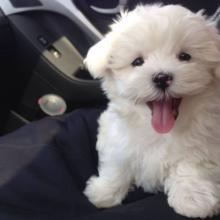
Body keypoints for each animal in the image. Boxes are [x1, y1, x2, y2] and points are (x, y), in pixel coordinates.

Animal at [83, 3, 220, 218]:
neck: (160, 132)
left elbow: (192, 164)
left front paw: (193, 199)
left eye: (185, 57)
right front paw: (104, 192)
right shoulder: (117, 138)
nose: (162, 77)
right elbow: (116, 164)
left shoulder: (207, 142)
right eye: (137, 62)